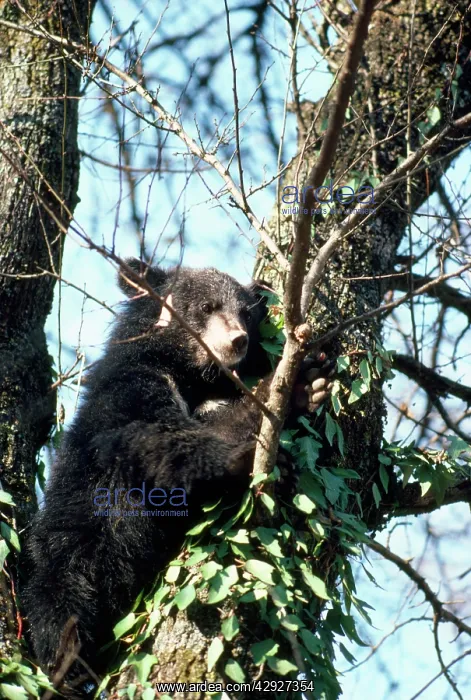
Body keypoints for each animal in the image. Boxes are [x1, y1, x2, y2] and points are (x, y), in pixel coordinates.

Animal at [22, 259, 330, 681]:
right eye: (206, 307)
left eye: (246, 315)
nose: (237, 341)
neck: (192, 373)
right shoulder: (128, 387)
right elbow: (162, 440)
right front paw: (277, 402)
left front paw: (308, 385)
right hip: (71, 554)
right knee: (61, 607)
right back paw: (67, 661)